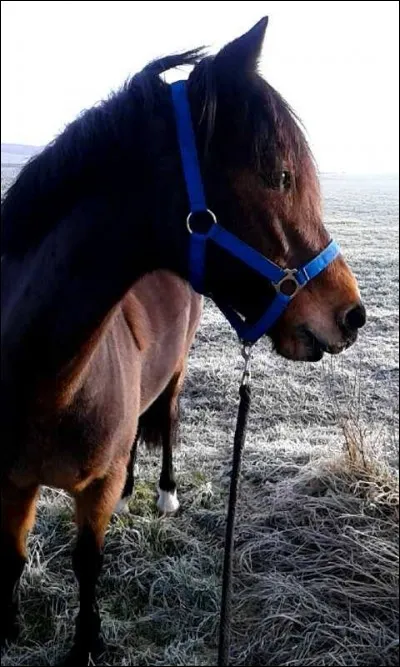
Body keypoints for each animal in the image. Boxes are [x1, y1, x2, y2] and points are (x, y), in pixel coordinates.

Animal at [1, 17, 366, 665]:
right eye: (280, 176)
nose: (351, 315)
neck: (46, 379)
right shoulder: (11, 483)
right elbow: (14, 558)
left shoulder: (91, 491)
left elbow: (87, 564)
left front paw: (86, 644)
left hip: (176, 370)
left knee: (166, 417)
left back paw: (163, 493)